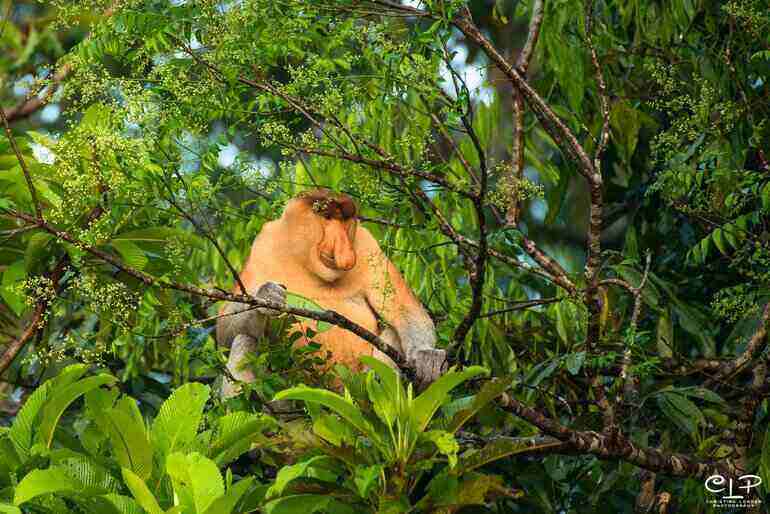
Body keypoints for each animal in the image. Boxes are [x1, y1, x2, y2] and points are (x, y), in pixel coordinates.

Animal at [216, 190, 444, 394]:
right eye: (327, 217)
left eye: (344, 221)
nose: (344, 249)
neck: (307, 264)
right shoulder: (264, 245)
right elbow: (225, 333)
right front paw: (267, 294)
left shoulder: (366, 244)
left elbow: (406, 310)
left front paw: (427, 357)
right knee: (244, 339)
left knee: (393, 330)